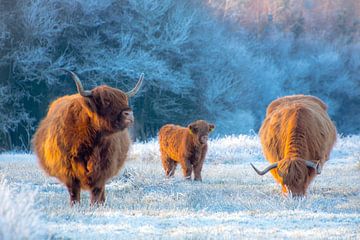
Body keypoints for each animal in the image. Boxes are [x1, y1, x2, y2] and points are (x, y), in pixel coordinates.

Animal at [31, 70, 143, 205]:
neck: (88, 141)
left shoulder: (102, 167)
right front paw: (75, 206)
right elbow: (74, 191)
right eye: (106, 101)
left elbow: (96, 189)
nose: (129, 114)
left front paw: (95, 205)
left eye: (125, 100)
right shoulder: (68, 169)